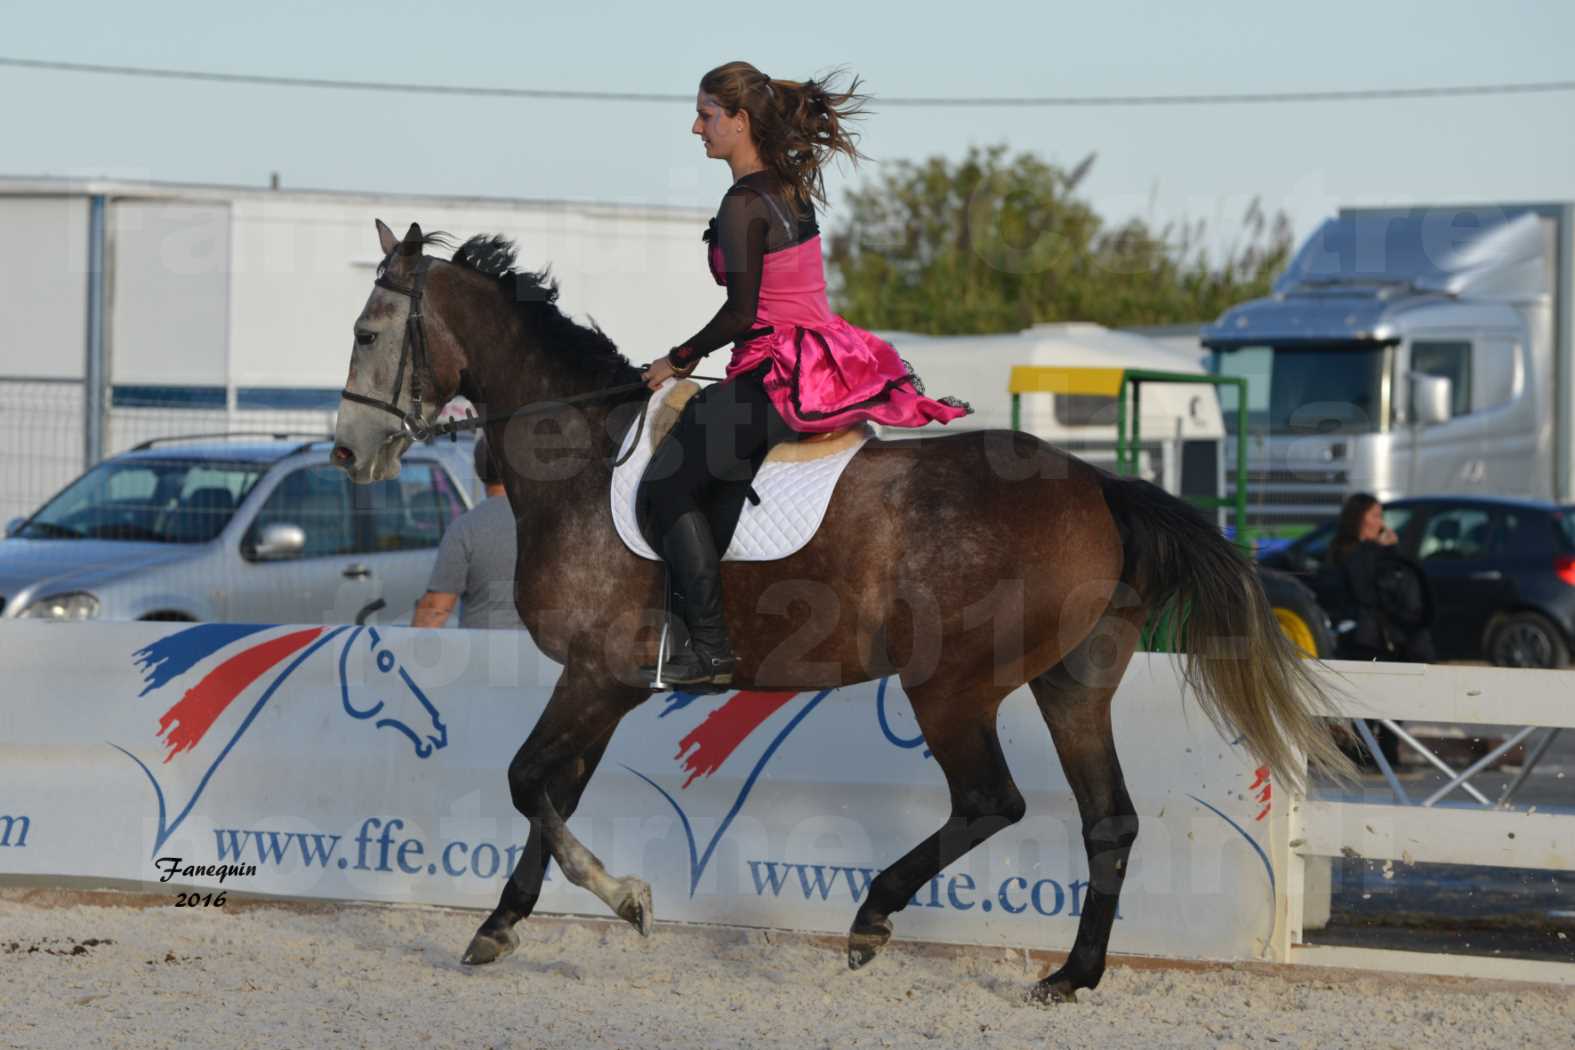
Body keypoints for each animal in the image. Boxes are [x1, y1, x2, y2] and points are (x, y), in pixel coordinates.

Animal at [329, 220, 1341, 1001]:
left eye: (369, 333)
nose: (347, 454)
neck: (583, 454)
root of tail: (1096, 486)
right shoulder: (605, 684)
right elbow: (551, 791)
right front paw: (501, 923)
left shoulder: (597, 674)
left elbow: (525, 781)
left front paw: (623, 899)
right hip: (1071, 683)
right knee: (1108, 821)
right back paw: (1071, 974)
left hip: (951, 686)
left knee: (991, 801)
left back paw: (872, 916)